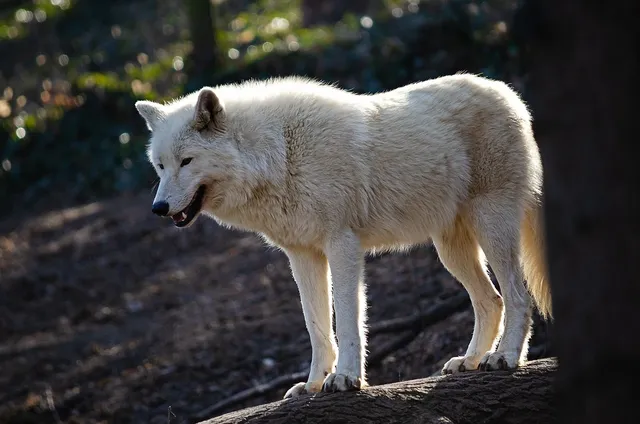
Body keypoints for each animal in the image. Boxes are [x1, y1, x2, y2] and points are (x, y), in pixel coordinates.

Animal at [135, 73, 551, 398]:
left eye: (187, 161)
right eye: (160, 166)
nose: (158, 208)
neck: (279, 154)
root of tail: (510, 94)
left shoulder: (343, 245)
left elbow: (348, 320)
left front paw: (347, 378)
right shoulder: (302, 256)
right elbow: (317, 326)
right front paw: (313, 385)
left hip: (491, 226)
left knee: (518, 296)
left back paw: (505, 358)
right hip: (451, 251)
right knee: (491, 301)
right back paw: (470, 360)